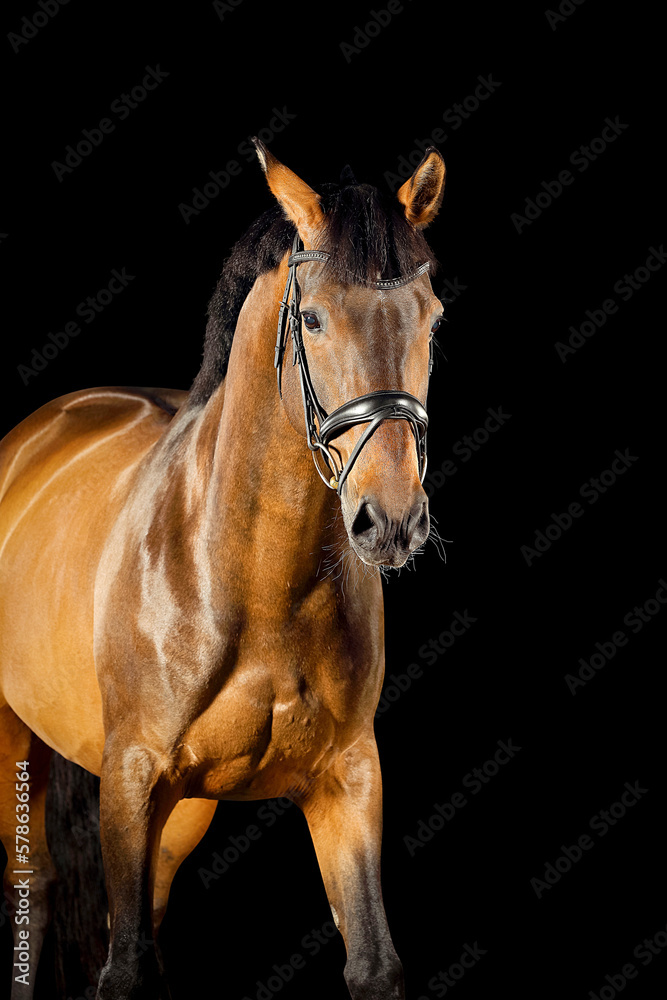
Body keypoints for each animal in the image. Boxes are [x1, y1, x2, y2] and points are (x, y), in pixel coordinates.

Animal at [0, 137, 446, 999]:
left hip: (183, 816)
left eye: (433, 319)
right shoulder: (131, 779)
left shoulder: (346, 780)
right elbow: (124, 970)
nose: (391, 522)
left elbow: (372, 960)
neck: (249, 576)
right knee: (31, 889)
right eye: (312, 318)